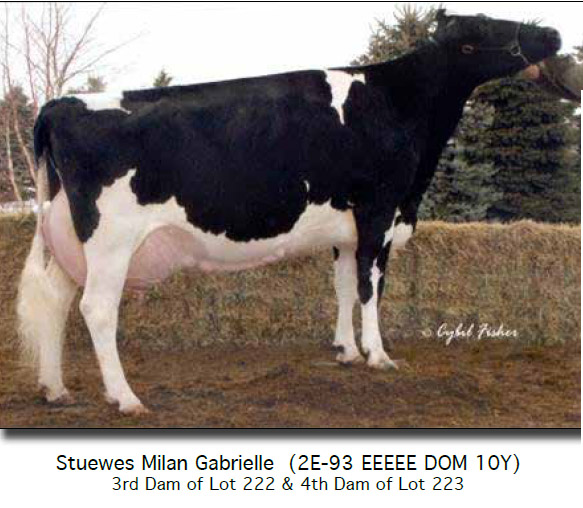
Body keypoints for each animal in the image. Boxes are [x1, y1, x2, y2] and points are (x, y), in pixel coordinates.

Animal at [17, 10, 561, 415]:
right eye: (489, 26)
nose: (554, 34)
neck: (398, 101)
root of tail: (61, 105)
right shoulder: (378, 211)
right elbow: (370, 287)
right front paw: (379, 355)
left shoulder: (345, 227)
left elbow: (342, 286)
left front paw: (346, 351)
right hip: (111, 239)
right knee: (96, 308)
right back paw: (125, 398)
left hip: (68, 239)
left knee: (56, 301)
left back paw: (54, 388)